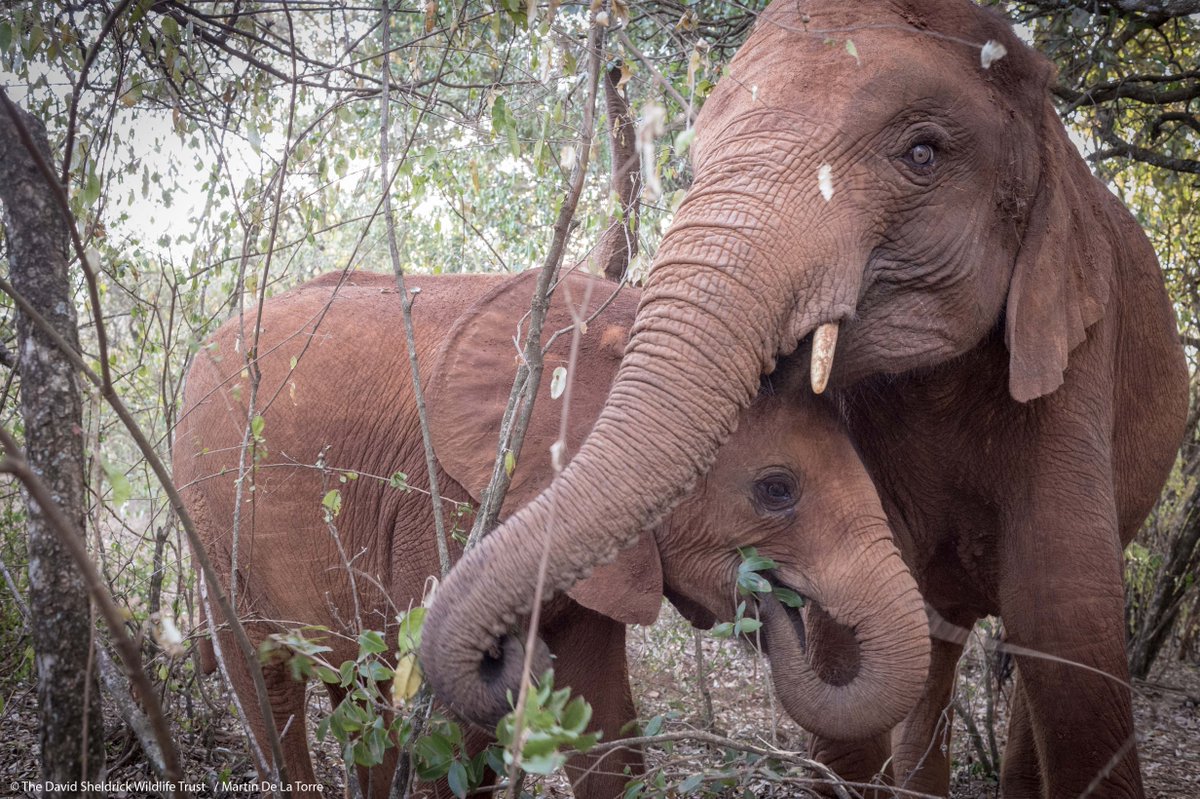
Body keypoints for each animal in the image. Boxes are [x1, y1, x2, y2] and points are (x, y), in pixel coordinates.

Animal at [173, 268, 930, 798]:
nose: (777, 604)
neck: (627, 337)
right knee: (271, 688)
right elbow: (443, 727)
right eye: (776, 490)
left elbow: (604, 724)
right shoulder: (447, 502)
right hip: (208, 518)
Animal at [419, 1, 1189, 797]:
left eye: (922, 154)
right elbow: (856, 648)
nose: (762, 600)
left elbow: (1062, 622)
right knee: (937, 640)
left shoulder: (1073, 354)